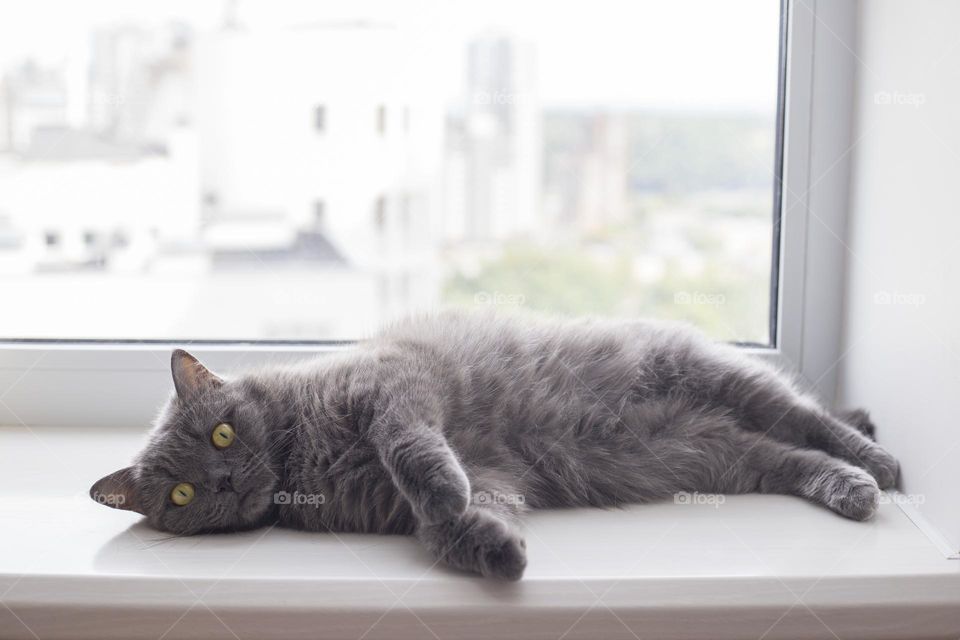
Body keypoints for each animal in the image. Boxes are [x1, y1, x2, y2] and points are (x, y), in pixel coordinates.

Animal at [90, 310, 900, 580]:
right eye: (183, 493)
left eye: (223, 432)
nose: (225, 483)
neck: (303, 456)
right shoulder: (481, 482)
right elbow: (460, 522)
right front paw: (496, 553)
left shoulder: (396, 386)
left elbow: (412, 446)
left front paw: (446, 496)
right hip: (720, 454)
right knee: (789, 458)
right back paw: (848, 489)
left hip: (714, 375)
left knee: (804, 417)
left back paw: (876, 463)